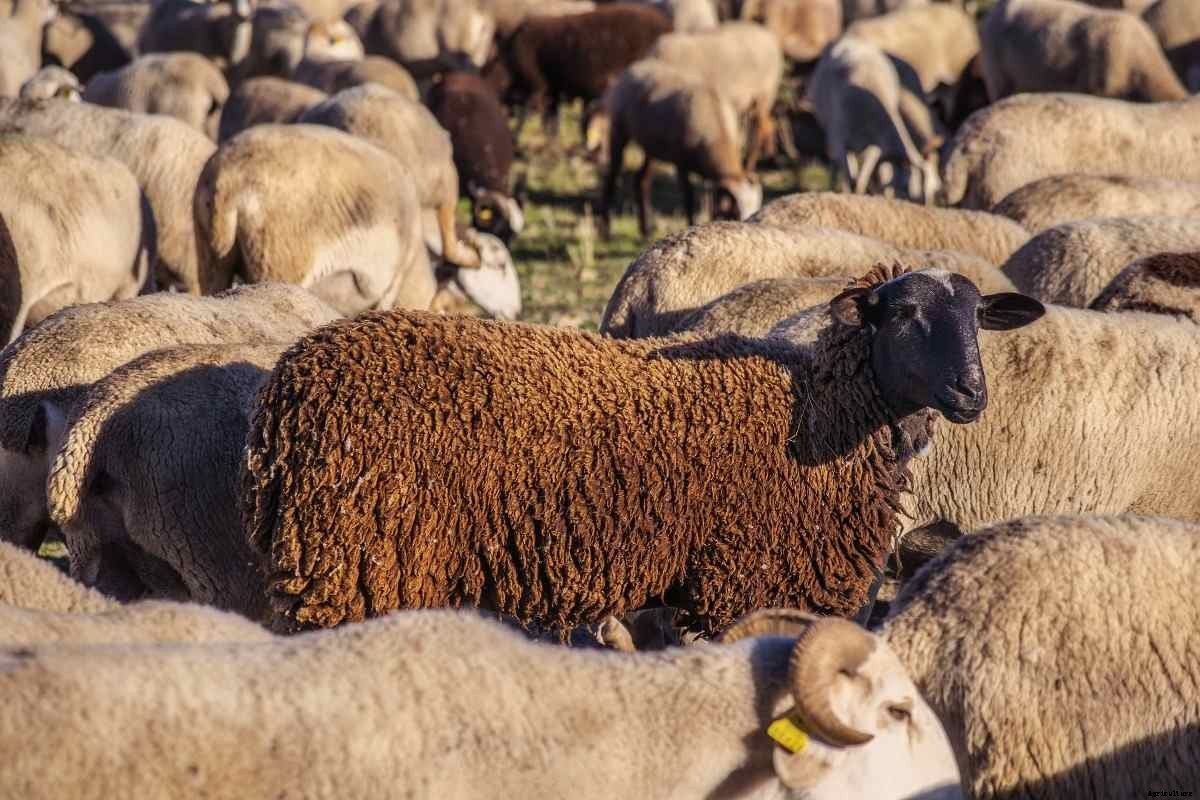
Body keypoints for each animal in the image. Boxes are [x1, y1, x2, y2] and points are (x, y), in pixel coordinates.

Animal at [244, 266, 1043, 633]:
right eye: (903, 313)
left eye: (978, 317)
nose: (972, 392)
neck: (821, 411)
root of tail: (289, 391)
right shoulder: (743, 582)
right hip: (359, 566)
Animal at [598, 58, 763, 238]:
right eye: (738, 210)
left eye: (756, 207)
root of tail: (636, 66)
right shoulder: (681, 162)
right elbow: (688, 198)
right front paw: (690, 225)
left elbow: (712, 200)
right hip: (619, 130)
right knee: (612, 174)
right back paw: (605, 230)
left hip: (652, 146)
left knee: (641, 180)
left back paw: (646, 229)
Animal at [649, 21, 784, 169]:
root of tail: (770, 38)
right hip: (755, 101)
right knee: (769, 125)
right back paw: (768, 156)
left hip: (764, 93)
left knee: (760, 129)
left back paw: (750, 166)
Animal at [804, 37, 940, 204]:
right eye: (926, 189)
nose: (930, 205)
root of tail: (848, 39)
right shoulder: (839, 139)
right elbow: (848, 175)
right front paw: (847, 194)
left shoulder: (874, 147)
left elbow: (862, 178)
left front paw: (860, 195)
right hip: (830, 128)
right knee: (834, 162)